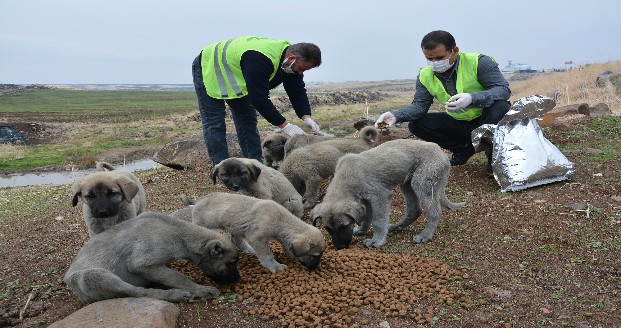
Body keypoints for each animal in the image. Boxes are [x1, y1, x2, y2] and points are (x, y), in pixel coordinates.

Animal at [63, 211, 240, 304]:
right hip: (94, 276)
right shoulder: (140, 264)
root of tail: (67, 277)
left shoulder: (160, 265)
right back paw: (174, 295)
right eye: (231, 263)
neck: (178, 235)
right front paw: (200, 289)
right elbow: (179, 277)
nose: (238, 279)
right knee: (138, 292)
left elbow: (169, 274)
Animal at [191, 192, 326, 274]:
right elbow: (267, 255)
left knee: (236, 239)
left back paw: (248, 249)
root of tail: (197, 202)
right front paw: (275, 266)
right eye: (315, 255)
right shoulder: (257, 239)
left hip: (237, 226)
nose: (317, 268)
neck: (280, 220)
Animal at [310, 138, 464, 249]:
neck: (347, 176)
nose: (340, 247)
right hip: (407, 184)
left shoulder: (380, 196)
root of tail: (441, 152)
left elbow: (378, 220)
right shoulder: (365, 200)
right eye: (328, 229)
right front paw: (362, 230)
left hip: (421, 183)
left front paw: (377, 240)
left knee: (434, 212)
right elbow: (367, 217)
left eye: (344, 226)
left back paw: (425, 235)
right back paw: (395, 227)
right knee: (414, 211)